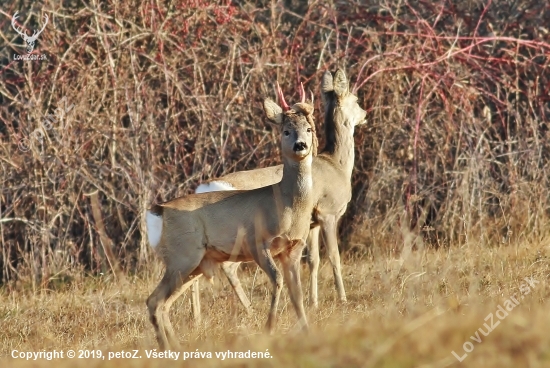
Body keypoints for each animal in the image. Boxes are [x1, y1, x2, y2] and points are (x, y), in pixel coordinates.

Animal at [146, 85, 320, 348]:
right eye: (286, 130)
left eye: (308, 128)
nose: (300, 145)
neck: (286, 205)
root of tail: (160, 211)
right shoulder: (256, 242)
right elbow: (277, 281)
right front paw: (269, 329)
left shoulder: (293, 249)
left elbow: (297, 294)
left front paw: (308, 333)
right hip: (182, 256)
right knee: (154, 302)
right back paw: (167, 348)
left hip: (193, 264)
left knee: (163, 304)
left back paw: (175, 347)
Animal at [192, 69, 368, 320]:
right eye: (356, 100)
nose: (365, 114)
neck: (337, 165)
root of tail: (202, 189)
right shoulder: (328, 212)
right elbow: (334, 256)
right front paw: (342, 299)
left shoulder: (311, 223)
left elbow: (313, 260)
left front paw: (313, 302)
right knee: (227, 267)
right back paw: (249, 310)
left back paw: (197, 317)